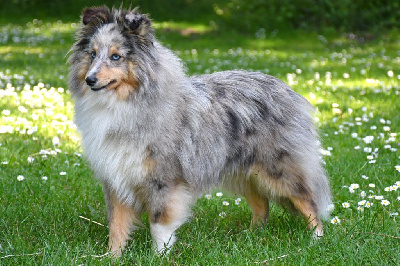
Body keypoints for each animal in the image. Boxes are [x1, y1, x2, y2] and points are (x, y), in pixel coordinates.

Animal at [67, 5, 332, 256]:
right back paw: (251, 237)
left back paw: (316, 241)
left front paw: (158, 256)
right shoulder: (116, 179)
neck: (125, 103)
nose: (90, 80)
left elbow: (159, 224)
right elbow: (117, 226)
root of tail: (286, 88)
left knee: (309, 202)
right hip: (245, 172)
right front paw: (112, 257)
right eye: (92, 54)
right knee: (261, 205)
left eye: (116, 57)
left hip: (279, 168)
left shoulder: (164, 180)